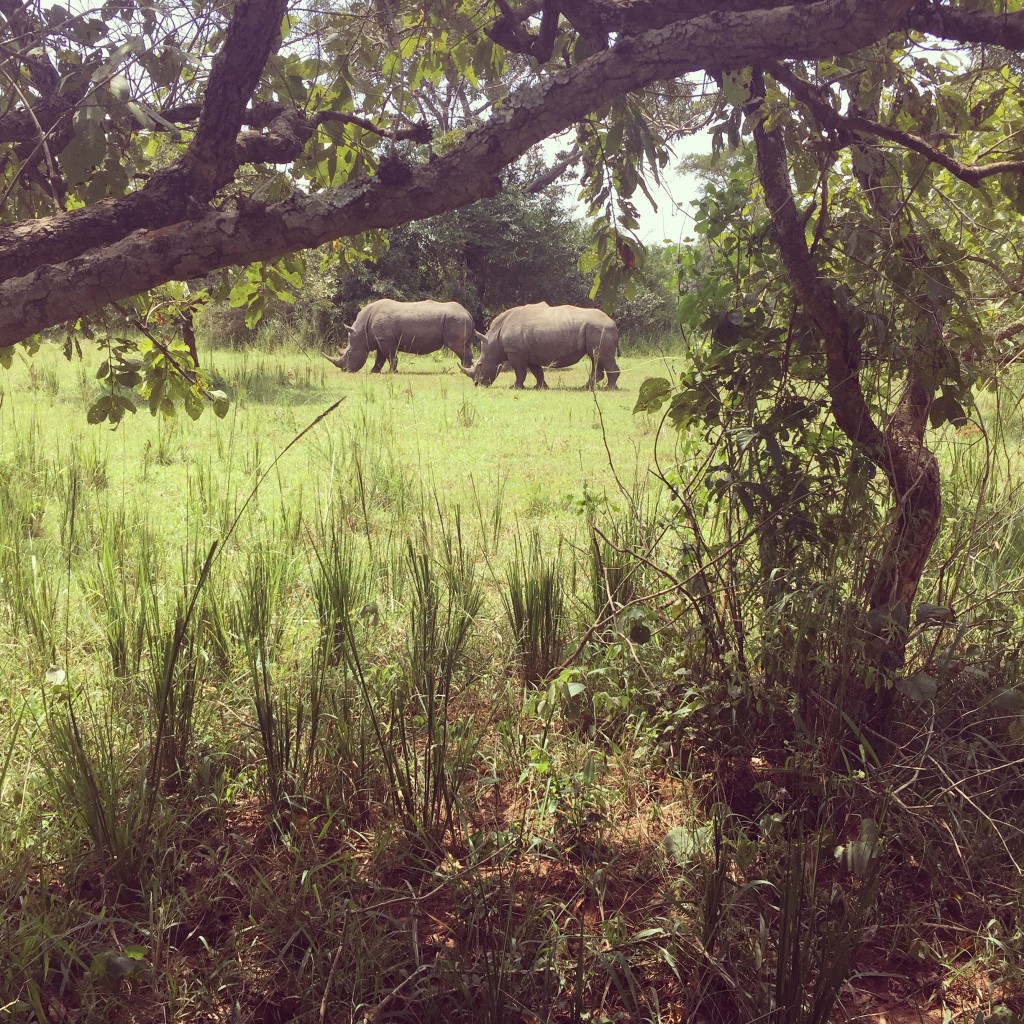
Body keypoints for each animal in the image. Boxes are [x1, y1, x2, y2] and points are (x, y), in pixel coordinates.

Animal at [323, 299, 475, 374]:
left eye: (349, 353)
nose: (344, 370)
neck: (361, 332)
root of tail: (468, 313)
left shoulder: (385, 340)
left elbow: (390, 357)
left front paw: (392, 372)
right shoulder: (381, 339)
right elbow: (380, 358)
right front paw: (374, 372)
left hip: (456, 319)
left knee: (458, 347)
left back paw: (462, 370)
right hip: (460, 320)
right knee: (465, 346)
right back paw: (466, 369)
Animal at [462, 301, 618, 389]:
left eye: (480, 364)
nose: (477, 384)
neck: (493, 339)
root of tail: (613, 322)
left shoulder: (515, 352)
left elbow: (520, 372)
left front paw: (515, 387)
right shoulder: (529, 353)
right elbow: (537, 372)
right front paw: (540, 387)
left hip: (600, 328)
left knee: (601, 357)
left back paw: (609, 388)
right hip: (596, 329)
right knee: (596, 358)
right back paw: (586, 387)